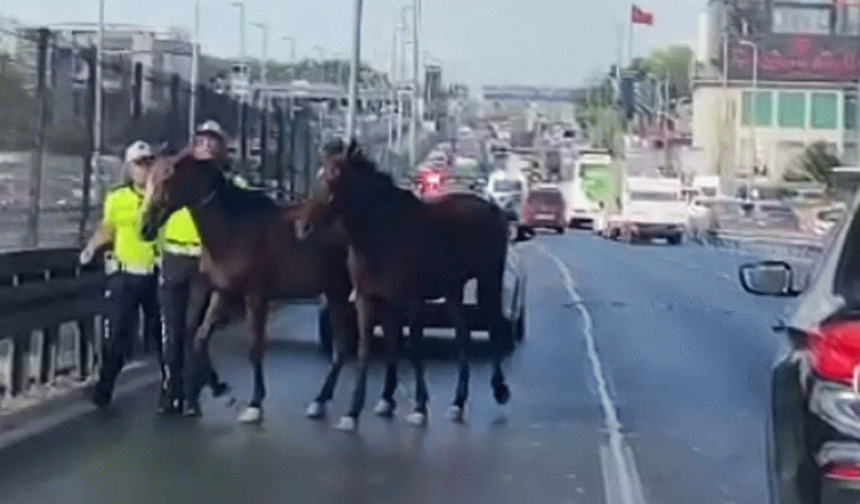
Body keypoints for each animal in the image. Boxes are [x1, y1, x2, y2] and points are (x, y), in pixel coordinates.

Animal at [140, 149, 352, 422]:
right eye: (148, 180)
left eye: (167, 180)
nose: (144, 227)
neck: (234, 228)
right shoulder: (224, 293)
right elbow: (200, 337)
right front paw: (218, 386)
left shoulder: (256, 296)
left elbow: (255, 348)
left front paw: (255, 403)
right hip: (336, 294)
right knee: (341, 351)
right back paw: (320, 401)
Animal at [298, 140, 510, 432]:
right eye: (320, 175)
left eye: (334, 178)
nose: (303, 227)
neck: (382, 232)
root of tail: (492, 210)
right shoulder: (370, 298)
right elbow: (373, 347)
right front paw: (359, 409)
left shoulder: (409, 300)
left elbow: (414, 347)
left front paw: (419, 407)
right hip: (452, 290)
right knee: (463, 334)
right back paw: (458, 402)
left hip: (489, 280)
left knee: (493, 326)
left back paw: (499, 389)